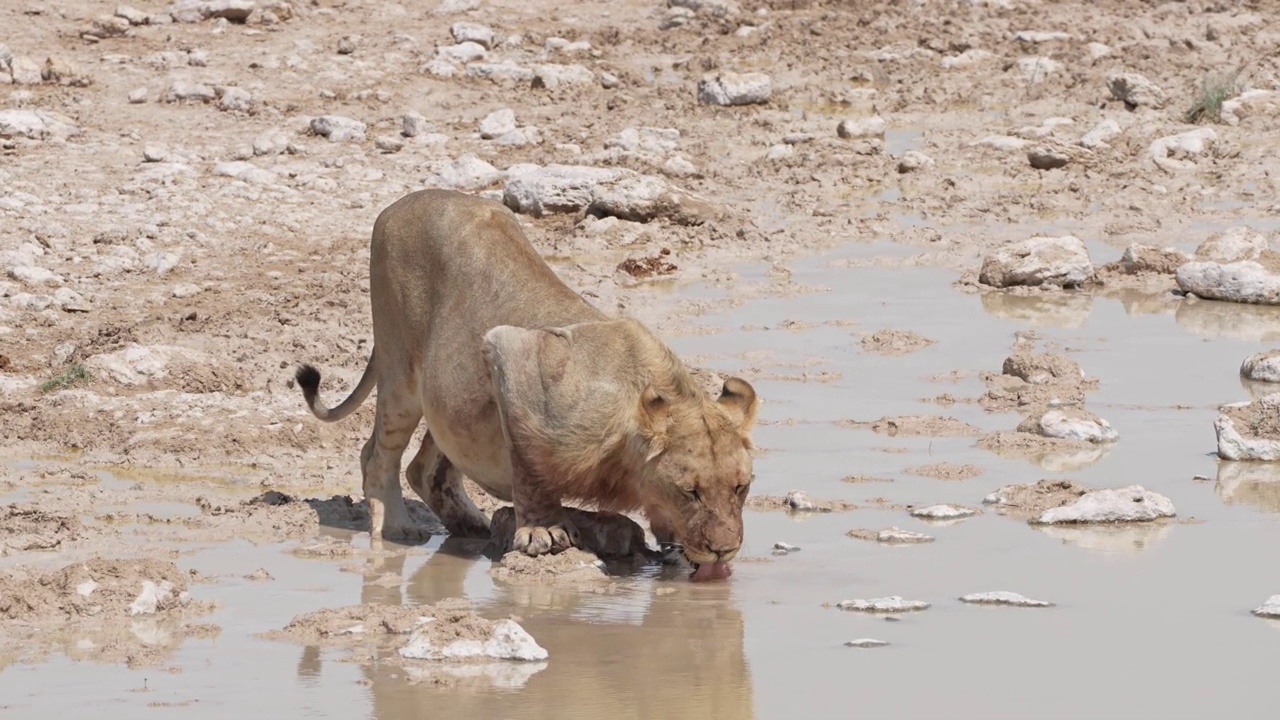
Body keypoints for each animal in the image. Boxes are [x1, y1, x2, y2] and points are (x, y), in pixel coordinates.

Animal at [296, 188, 757, 573]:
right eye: (690, 492)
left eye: (740, 488)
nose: (724, 550)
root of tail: (398, 204)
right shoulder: (513, 356)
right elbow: (531, 469)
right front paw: (541, 530)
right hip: (399, 373)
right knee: (377, 454)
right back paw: (397, 527)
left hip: (452, 403)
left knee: (426, 469)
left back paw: (472, 525)